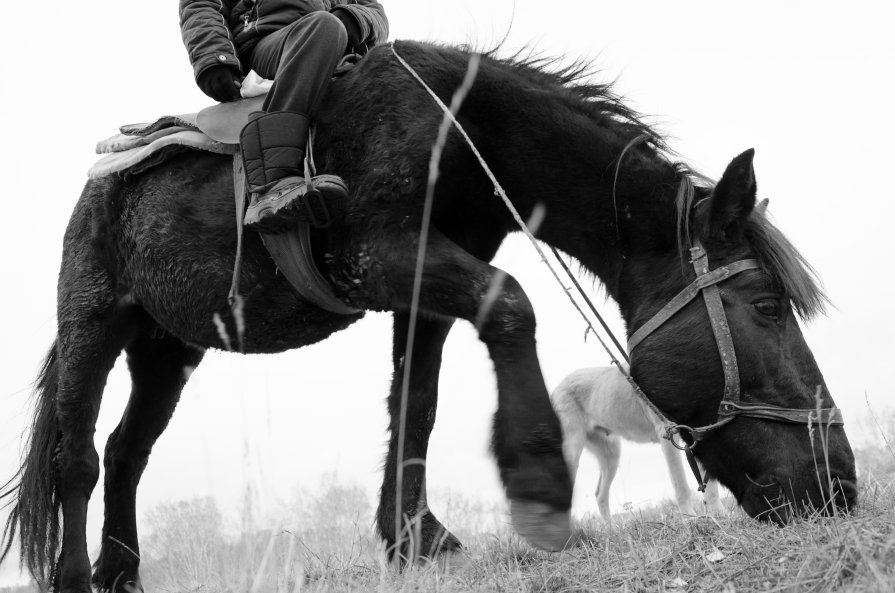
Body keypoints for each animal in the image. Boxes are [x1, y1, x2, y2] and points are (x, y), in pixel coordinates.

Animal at [548, 366, 724, 520]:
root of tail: (555, 389)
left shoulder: (699, 435)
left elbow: (711, 487)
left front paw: (720, 518)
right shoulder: (668, 433)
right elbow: (681, 485)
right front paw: (691, 519)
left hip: (611, 454)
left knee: (600, 495)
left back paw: (612, 532)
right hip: (571, 453)